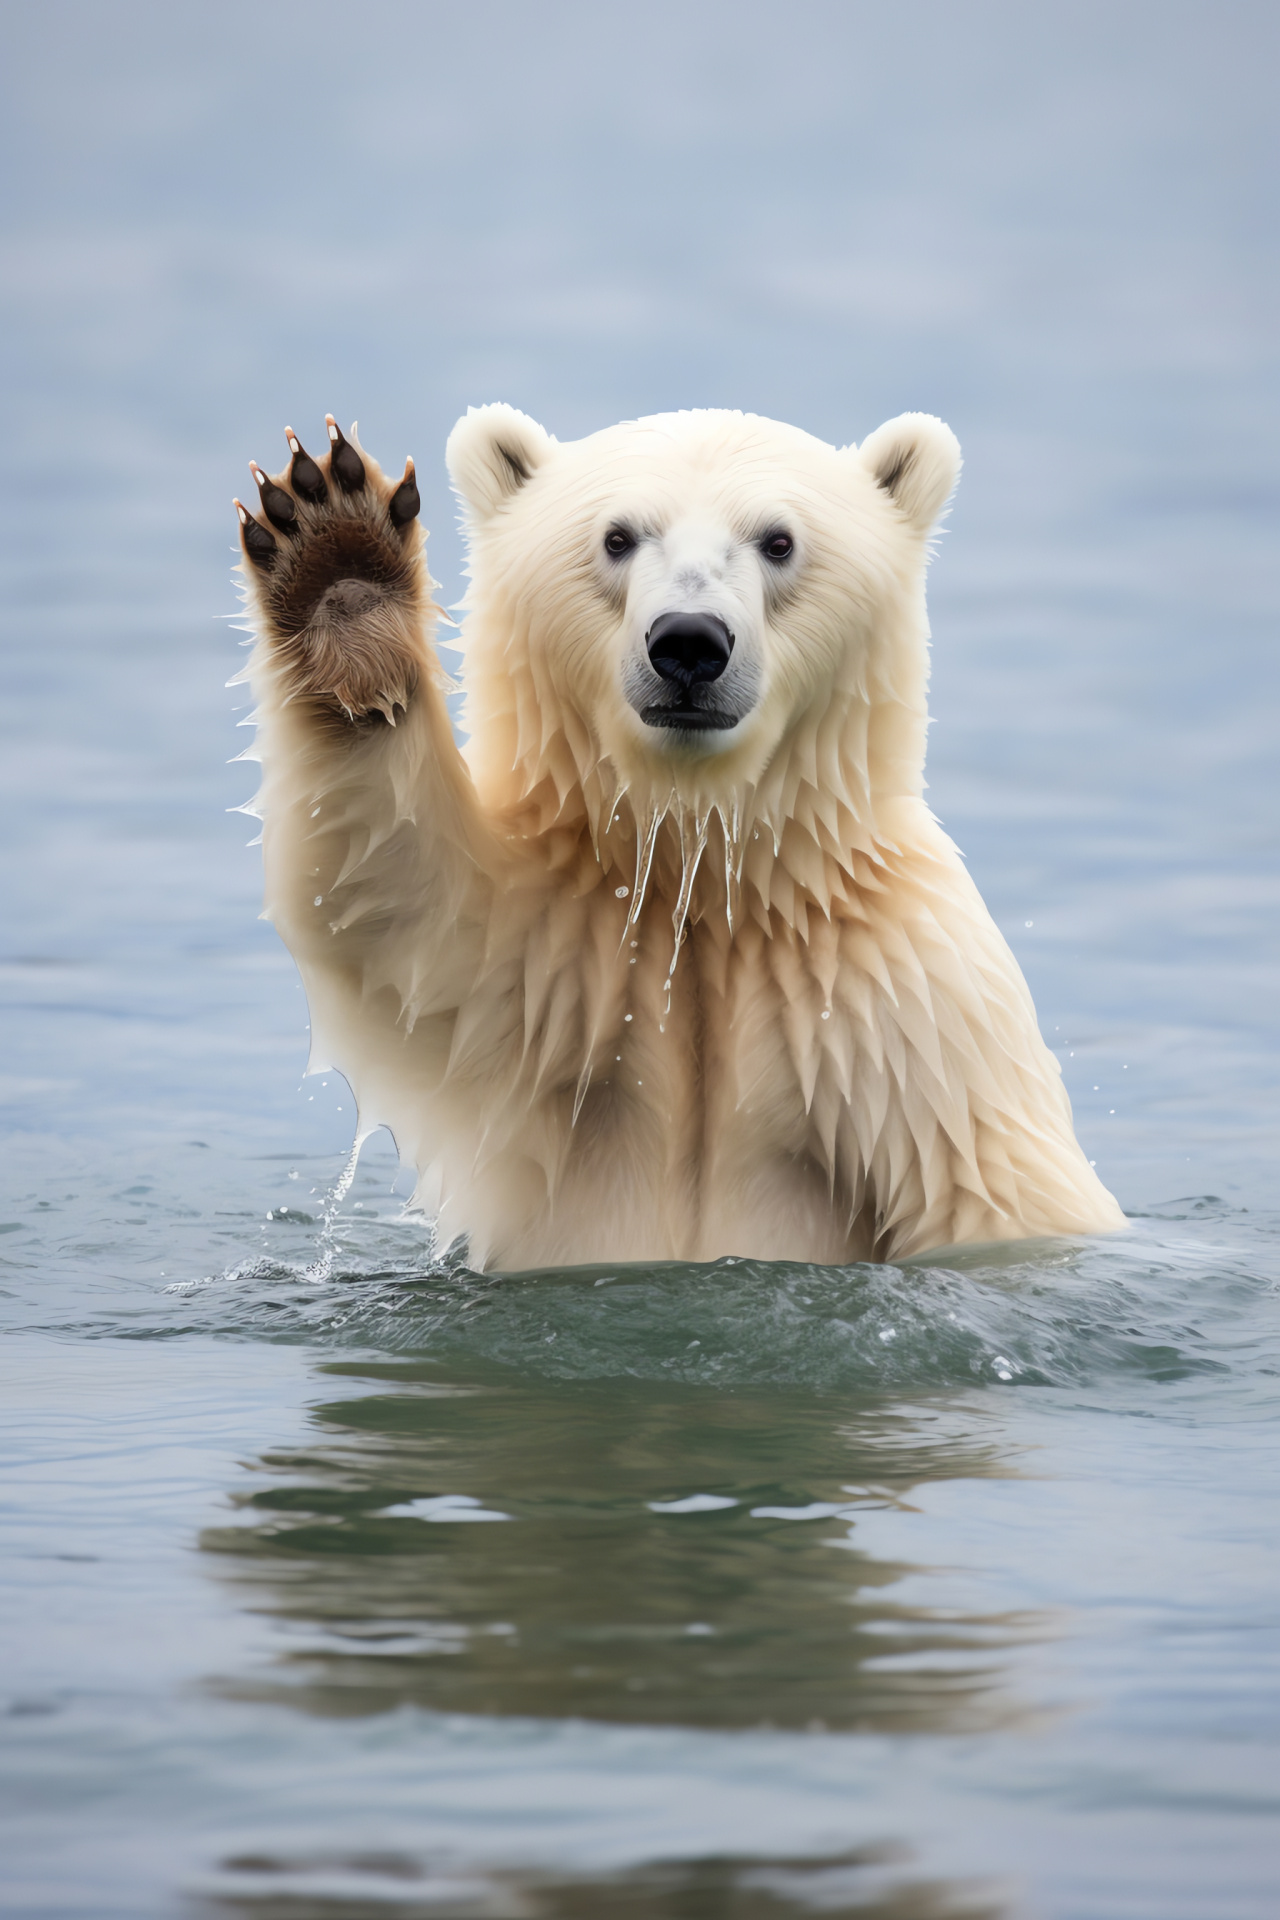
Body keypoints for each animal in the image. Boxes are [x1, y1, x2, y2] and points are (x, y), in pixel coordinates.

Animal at [235, 407, 1128, 1274]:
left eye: (778, 540)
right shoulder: (560, 945)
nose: (690, 642)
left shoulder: (901, 1006)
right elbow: (397, 903)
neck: (699, 874)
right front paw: (339, 558)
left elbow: (990, 1187)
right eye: (618, 536)